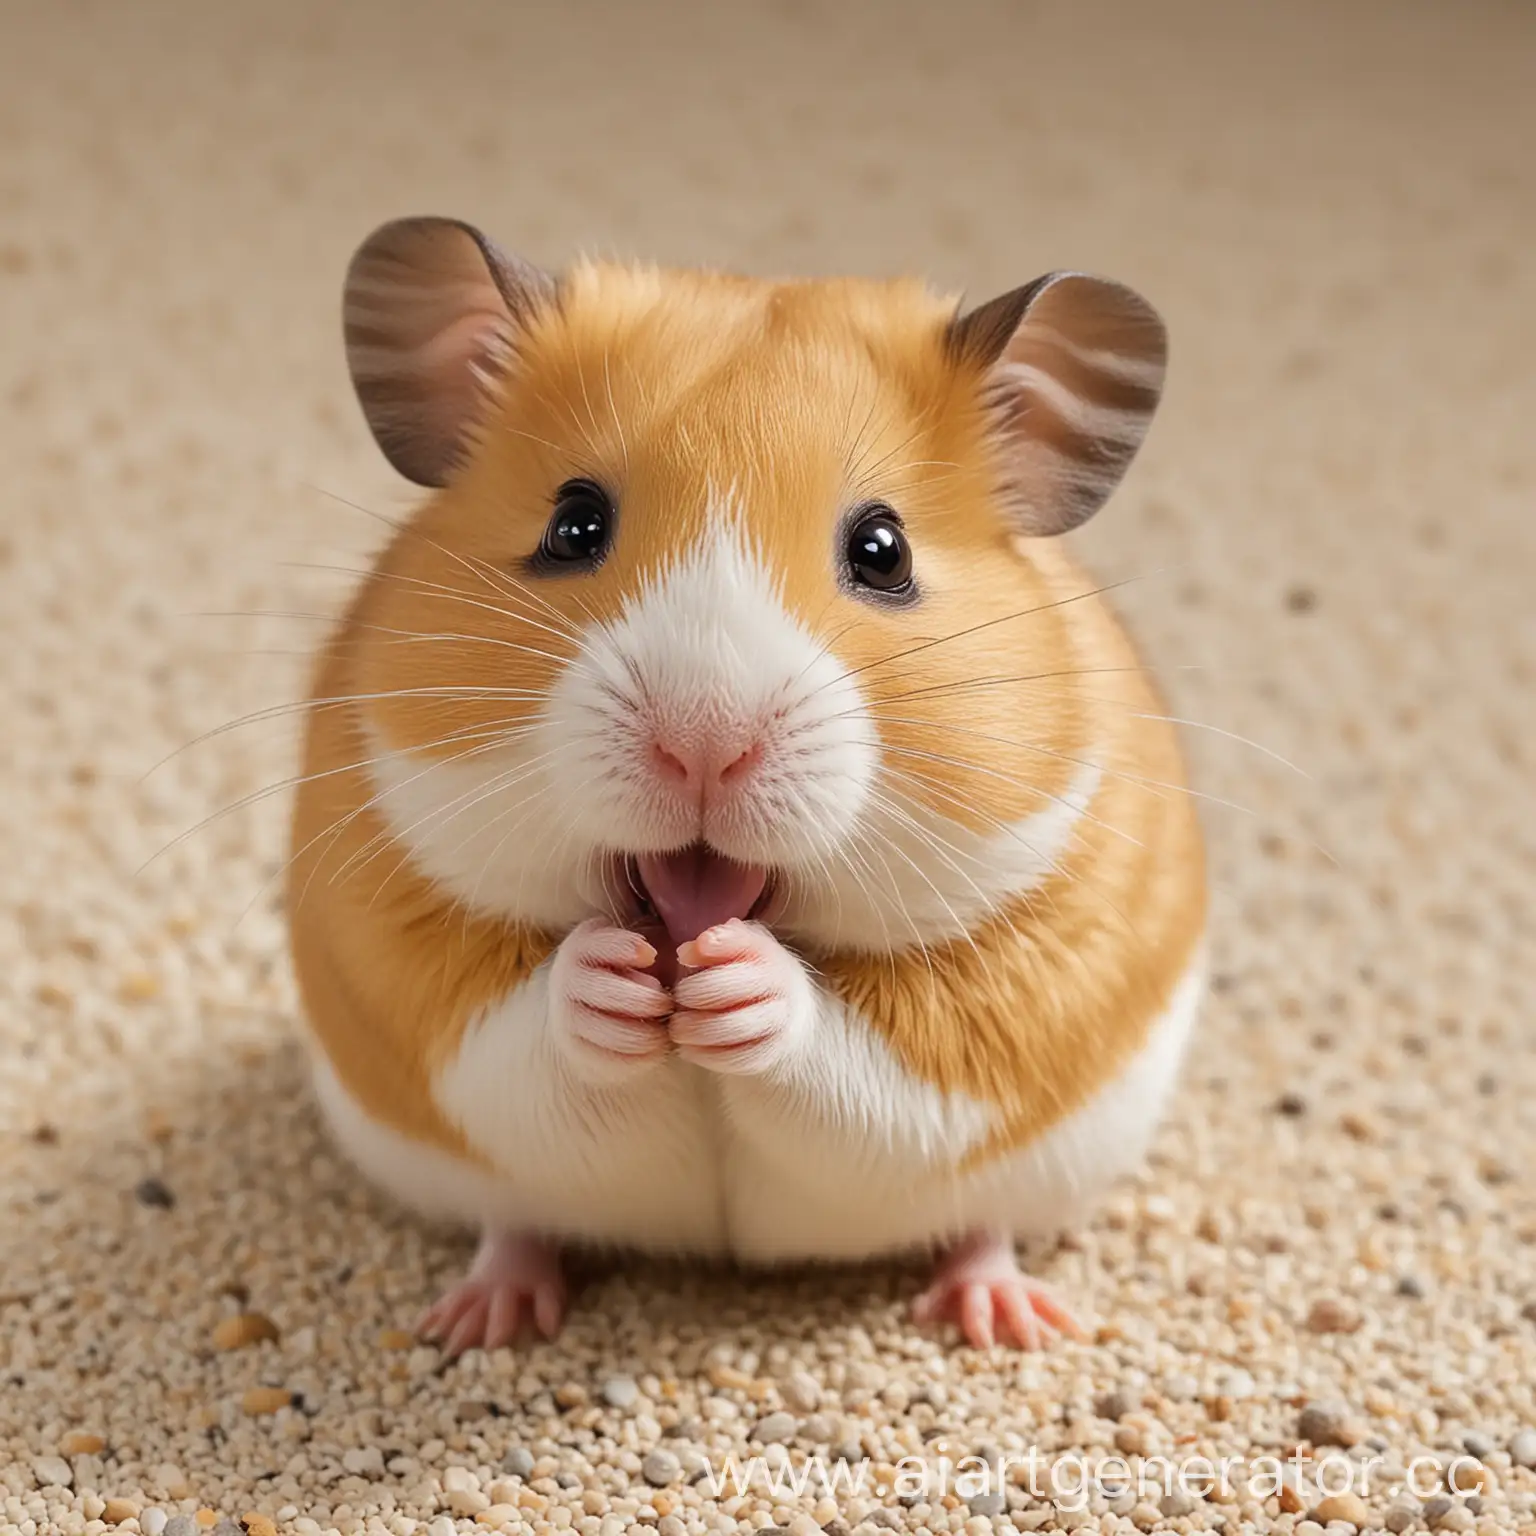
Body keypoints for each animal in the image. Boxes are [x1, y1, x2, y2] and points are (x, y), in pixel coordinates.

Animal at [285, 216, 1198, 1357]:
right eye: (573, 526)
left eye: (883, 550)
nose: (704, 747)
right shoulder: (419, 997)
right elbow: (522, 1043)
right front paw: (613, 979)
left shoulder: (996, 1025)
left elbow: (865, 1066)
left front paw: (739, 982)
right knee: (513, 1220)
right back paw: (480, 1319)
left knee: (981, 1226)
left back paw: (1007, 1320)